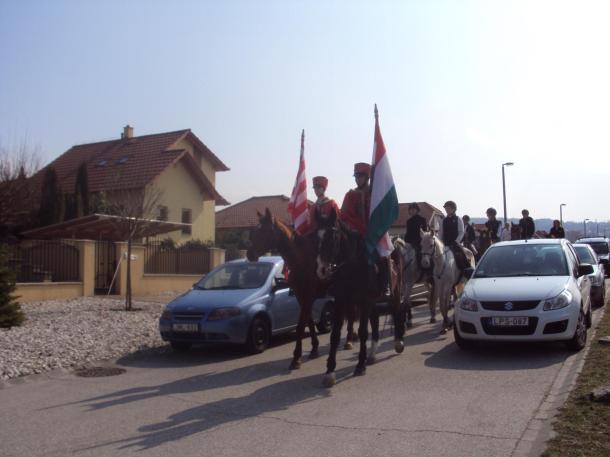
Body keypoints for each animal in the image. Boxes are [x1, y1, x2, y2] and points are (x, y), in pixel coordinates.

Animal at [246, 208, 326, 368]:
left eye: (264, 231)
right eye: (253, 231)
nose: (249, 254)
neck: (302, 259)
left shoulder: (307, 297)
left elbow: (301, 326)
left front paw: (296, 358)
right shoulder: (302, 297)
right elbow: (309, 321)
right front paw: (314, 349)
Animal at [314, 208, 404, 386]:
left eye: (332, 236)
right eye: (316, 236)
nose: (321, 270)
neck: (352, 267)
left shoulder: (364, 301)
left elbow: (362, 331)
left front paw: (360, 365)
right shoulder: (341, 301)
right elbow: (335, 335)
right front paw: (330, 371)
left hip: (394, 293)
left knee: (396, 311)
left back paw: (398, 342)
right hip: (374, 303)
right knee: (375, 322)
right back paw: (372, 354)